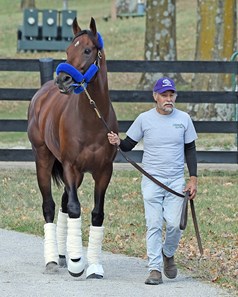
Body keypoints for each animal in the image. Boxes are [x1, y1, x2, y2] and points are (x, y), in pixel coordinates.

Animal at [27, 17, 118, 278]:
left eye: (87, 50)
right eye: (68, 50)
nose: (63, 80)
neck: (92, 119)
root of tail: (41, 95)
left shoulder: (103, 171)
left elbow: (96, 213)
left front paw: (94, 265)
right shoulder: (70, 166)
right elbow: (75, 208)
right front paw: (77, 262)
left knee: (64, 204)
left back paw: (60, 255)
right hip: (44, 160)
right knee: (50, 206)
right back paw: (51, 260)